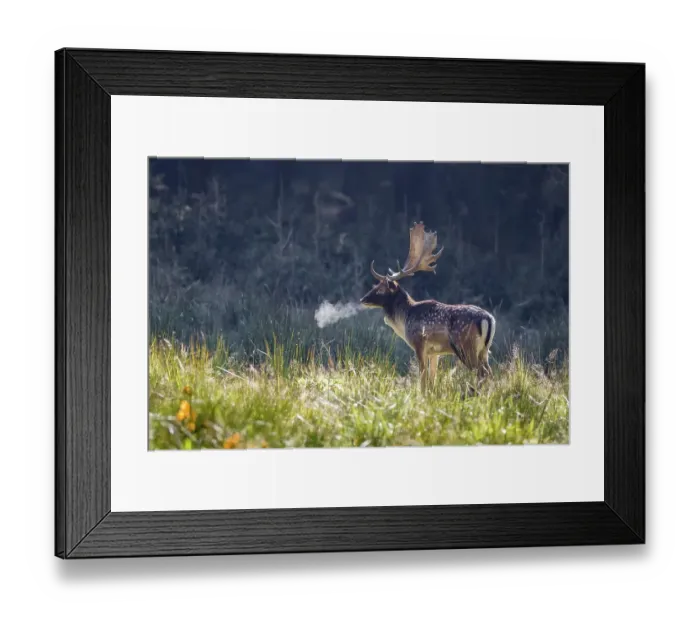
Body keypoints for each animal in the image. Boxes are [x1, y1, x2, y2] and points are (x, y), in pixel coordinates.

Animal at [360, 222, 496, 392]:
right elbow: (432, 378)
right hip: (484, 350)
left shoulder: (419, 343)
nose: (363, 299)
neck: (405, 319)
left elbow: (423, 378)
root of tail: (489, 319)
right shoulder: (434, 352)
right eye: (375, 285)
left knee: (482, 373)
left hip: (466, 346)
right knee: (489, 373)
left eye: (380, 288)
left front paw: (422, 394)